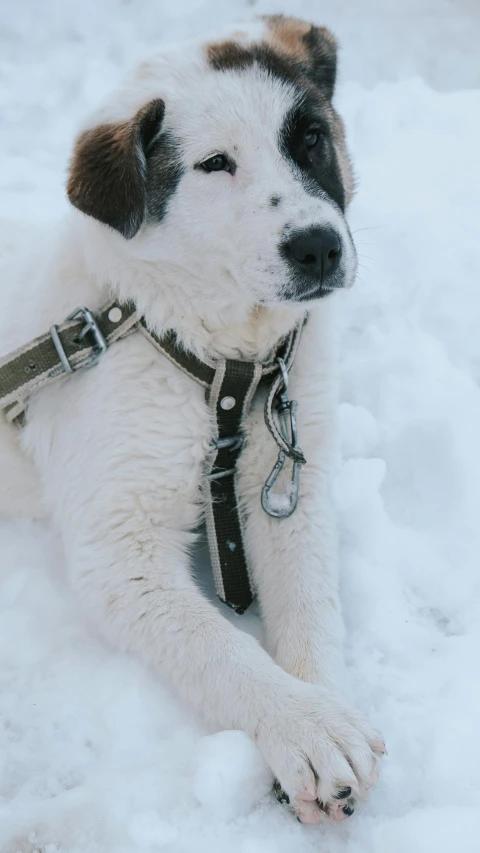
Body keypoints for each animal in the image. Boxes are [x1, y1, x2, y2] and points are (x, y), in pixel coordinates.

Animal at [0, 15, 382, 824]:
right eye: (214, 164)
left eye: (309, 137)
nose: (318, 246)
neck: (225, 364)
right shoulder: (121, 550)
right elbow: (221, 647)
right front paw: (305, 727)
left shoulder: (291, 488)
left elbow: (314, 607)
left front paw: (325, 704)